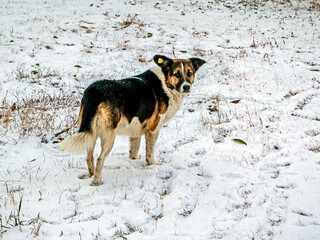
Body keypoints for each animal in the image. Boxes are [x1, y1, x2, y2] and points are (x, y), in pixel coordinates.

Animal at [59, 54, 205, 186]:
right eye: (177, 74)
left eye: (190, 73)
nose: (186, 87)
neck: (165, 83)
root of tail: (95, 91)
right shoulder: (153, 130)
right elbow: (150, 153)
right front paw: (153, 165)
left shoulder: (136, 131)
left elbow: (134, 151)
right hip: (109, 136)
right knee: (100, 158)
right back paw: (97, 181)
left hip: (90, 133)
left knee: (89, 157)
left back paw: (91, 174)